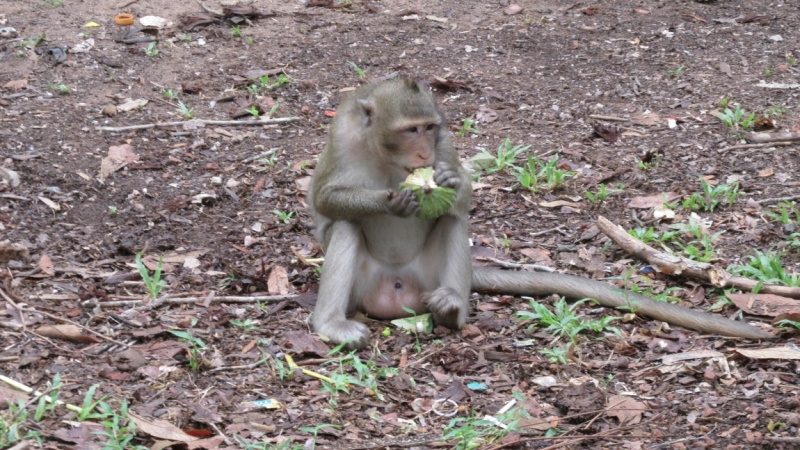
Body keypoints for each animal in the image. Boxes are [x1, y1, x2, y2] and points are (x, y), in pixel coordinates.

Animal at [308, 79, 776, 350]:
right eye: (410, 130)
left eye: (429, 129)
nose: (424, 153)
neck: (386, 154)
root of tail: (398, 289)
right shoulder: (341, 133)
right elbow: (323, 200)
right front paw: (390, 201)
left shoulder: (446, 139)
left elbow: (461, 201)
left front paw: (449, 182)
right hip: (365, 288)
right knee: (346, 227)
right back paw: (331, 325)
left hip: (428, 279)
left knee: (453, 222)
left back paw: (452, 308)